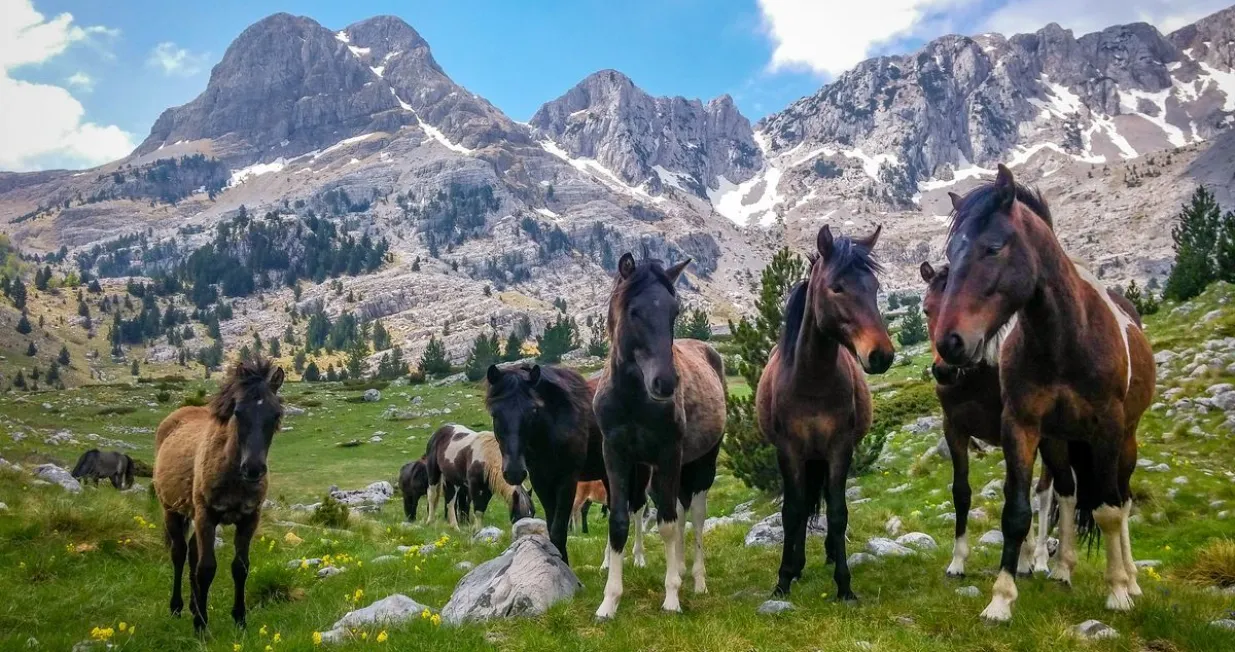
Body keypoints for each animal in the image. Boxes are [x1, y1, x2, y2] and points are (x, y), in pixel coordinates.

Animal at [151, 355, 284, 632]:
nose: (253, 469)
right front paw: (201, 626)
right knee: (179, 554)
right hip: (171, 510)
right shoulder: (206, 515)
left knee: (192, 552)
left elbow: (240, 567)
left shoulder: (249, 518)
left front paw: (239, 619)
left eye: (276, 414)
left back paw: (193, 606)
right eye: (238, 412)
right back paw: (177, 607)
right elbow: (207, 568)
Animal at [484, 360, 632, 565]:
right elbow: (551, 527)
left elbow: (558, 530)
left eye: (533, 411)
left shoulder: (567, 480)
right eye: (495, 414)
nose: (514, 472)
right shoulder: (541, 482)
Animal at [592, 251, 726, 619]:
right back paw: (678, 567)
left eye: (674, 311)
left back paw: (697, 579)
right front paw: (609, 602)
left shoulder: (669, 453)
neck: (632, 401)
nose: (665, 383)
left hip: (701, 464)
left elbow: (666, 524)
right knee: (679, 512)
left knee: (694, 516)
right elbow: (620, 522)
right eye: (634, 311)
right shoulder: (616, 455)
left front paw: (671, 598)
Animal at [750, 225, 899, 600]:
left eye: (875, 287)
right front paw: (783, 579)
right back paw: (798, 564)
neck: (811, 382)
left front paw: (844, 585)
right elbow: (792, 512)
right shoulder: (789, 450)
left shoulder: (839, 448)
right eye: (837, 287)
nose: (881, 355)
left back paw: (830, 553)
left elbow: (837, 512)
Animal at [933, 163, 1155, 622]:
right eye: (951, 255)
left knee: (1122, 500)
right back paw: (1062, 569)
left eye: (992, 248)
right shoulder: (1021, 425)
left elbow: (1108, 511)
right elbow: (1016, 512)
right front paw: (1001, 598)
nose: (950, 344)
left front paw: (1117, 592)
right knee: (1067, 495)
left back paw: (1131, 580)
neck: (1065, 340)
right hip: (1059, 441)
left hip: (1125, 440)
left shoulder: (1106, 428)